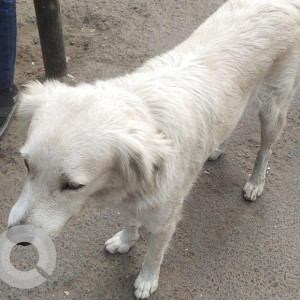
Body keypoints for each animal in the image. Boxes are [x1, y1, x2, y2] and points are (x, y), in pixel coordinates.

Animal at [7, 0, 300, 298]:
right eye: (27, 165)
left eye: (73, 186)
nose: (17, 238)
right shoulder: (127, 197)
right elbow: (129, 221)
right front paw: (125, 242)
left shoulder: (165, 221)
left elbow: (154, 255)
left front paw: (147, 281)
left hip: (273, 109)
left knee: (265, 151)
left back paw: (255, 183)